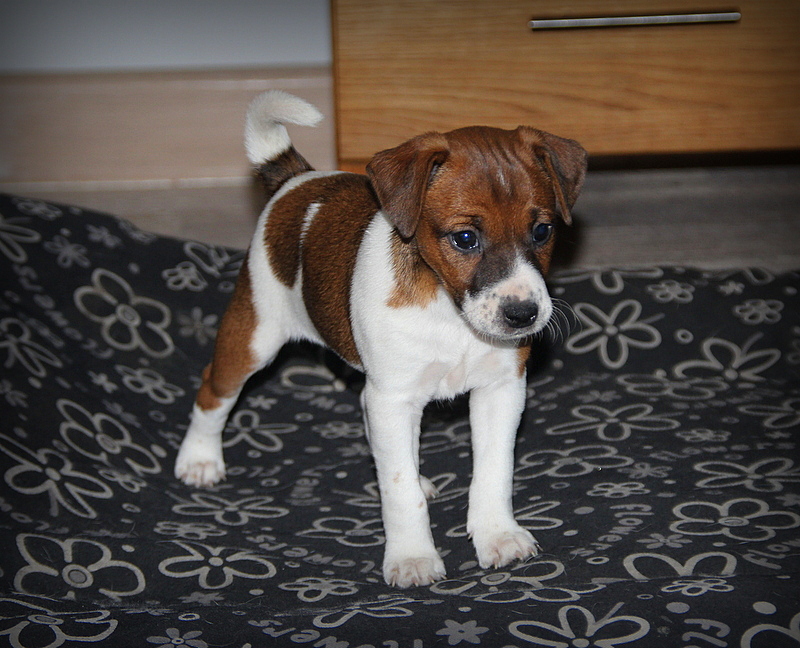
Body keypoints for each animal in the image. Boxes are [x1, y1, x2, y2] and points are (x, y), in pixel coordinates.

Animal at [175, 90, 587, 587]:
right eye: (465, 238)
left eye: (542, 231)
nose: (524, 314)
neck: (449, 312)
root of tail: (297, 180)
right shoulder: (393, 397)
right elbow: (398, 490)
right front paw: (412, 556)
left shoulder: (500, 390)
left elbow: (493, 471)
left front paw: (497, 534)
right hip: (253, 336)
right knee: (212, 389)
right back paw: (199, 459)